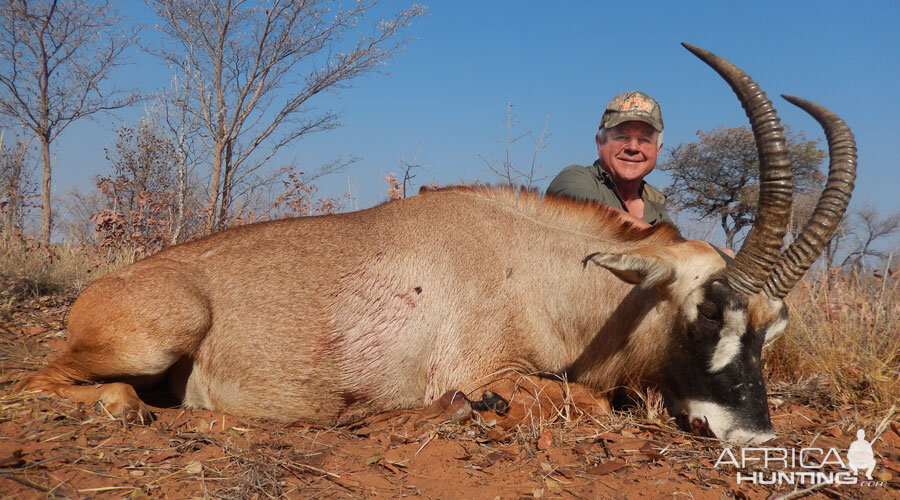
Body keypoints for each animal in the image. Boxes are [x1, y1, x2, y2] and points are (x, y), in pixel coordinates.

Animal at [15, 45, 856, 444]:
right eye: (708, 311)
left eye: (774, 327)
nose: (753, 433)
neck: (545, 273)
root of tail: (107, 287)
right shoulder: (482, 370)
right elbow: (579, 398)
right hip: (157, 335)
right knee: (41, 383)